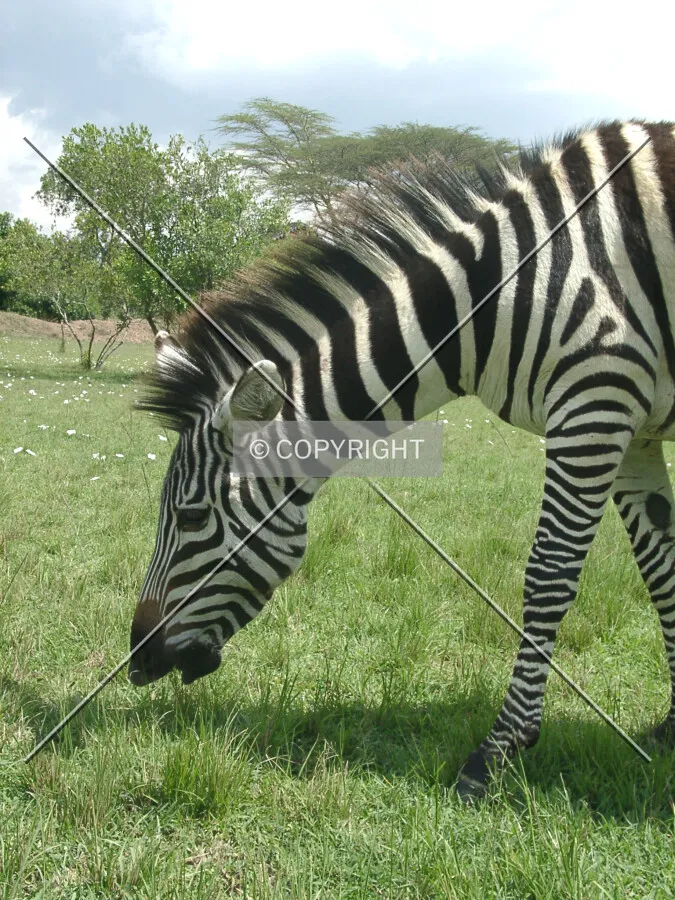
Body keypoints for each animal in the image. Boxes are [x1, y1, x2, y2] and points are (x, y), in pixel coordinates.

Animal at [129, 120, 675, 801]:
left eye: (193, 517)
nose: (136, 661)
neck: (493, 295)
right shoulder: (636, 432)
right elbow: (663, 568)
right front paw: (674, 726)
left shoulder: (595, 400)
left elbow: (548, 575)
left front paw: (496, 753)